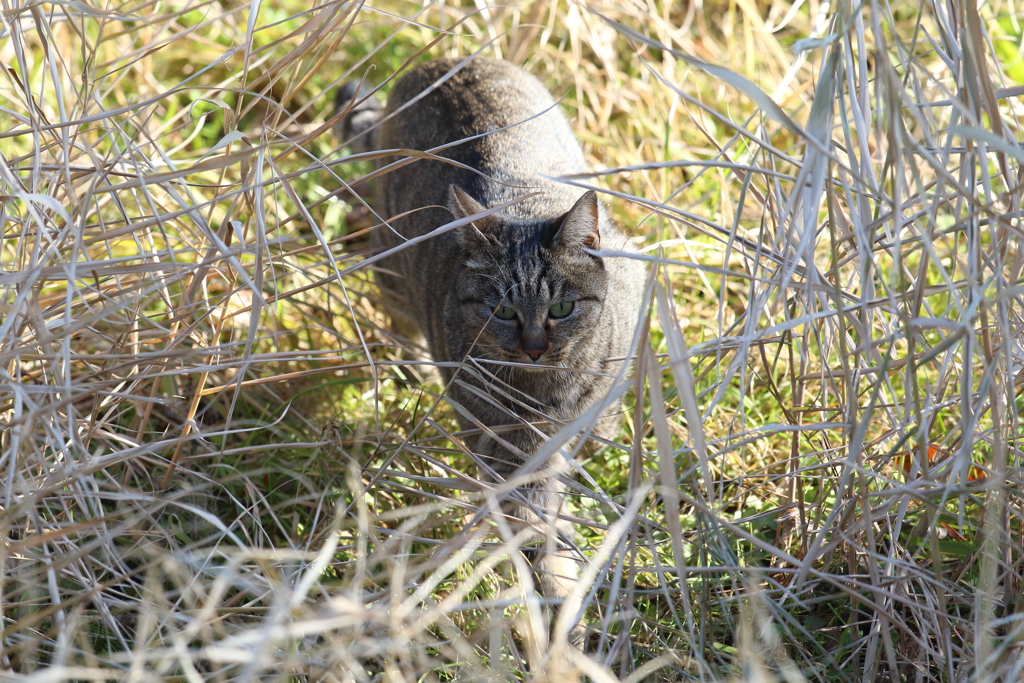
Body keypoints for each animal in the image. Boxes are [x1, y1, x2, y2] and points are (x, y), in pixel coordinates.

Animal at [335, 56, 643, 651]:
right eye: (502, 311)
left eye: (563, 307)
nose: (534, 348)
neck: (548, 393)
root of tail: (443, 59)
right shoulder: (502, 445)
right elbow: (533, 521)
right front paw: (556, 605)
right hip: (391, 275)